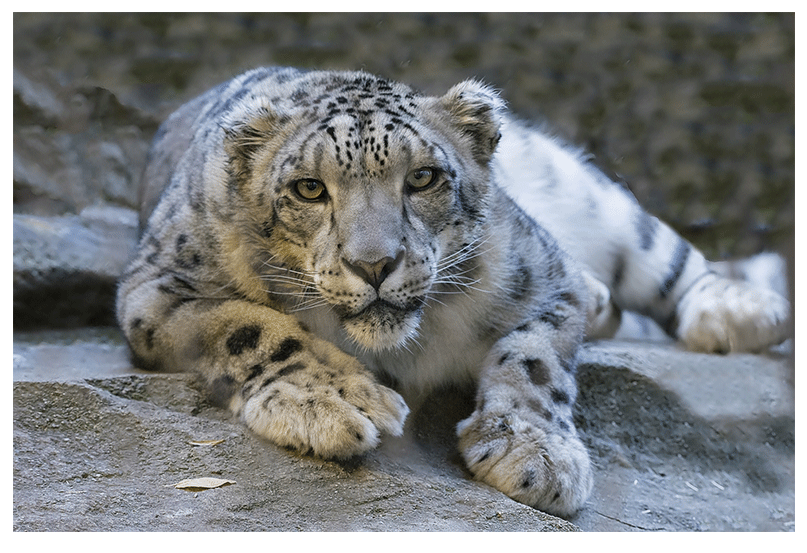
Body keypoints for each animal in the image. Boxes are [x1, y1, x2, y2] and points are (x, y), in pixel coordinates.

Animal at [117, 66, 792, 516]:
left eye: (423, 178)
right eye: (309, 188)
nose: (374, 263)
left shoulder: (546, 274)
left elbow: (535, 358)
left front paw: (535, 454)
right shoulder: (157, 289)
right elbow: (247, 324)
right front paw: (336, 401)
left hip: (591, 196)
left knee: (667, 254)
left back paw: (737, 310)